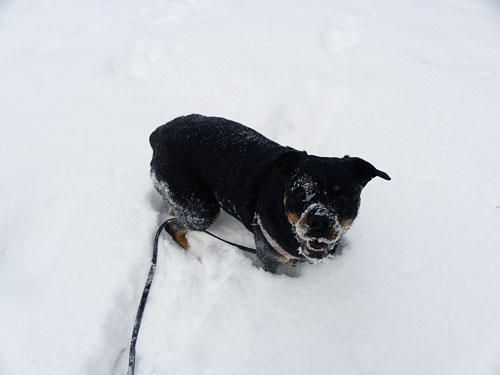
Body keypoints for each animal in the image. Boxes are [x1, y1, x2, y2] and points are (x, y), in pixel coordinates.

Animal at [148, 114, 390, 274]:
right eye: (299, 192)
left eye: (343, 196)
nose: (319, 221)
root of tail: (158, 134)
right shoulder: (267, 257)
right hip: (201, 208)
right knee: (174, 226)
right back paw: (192, 254)